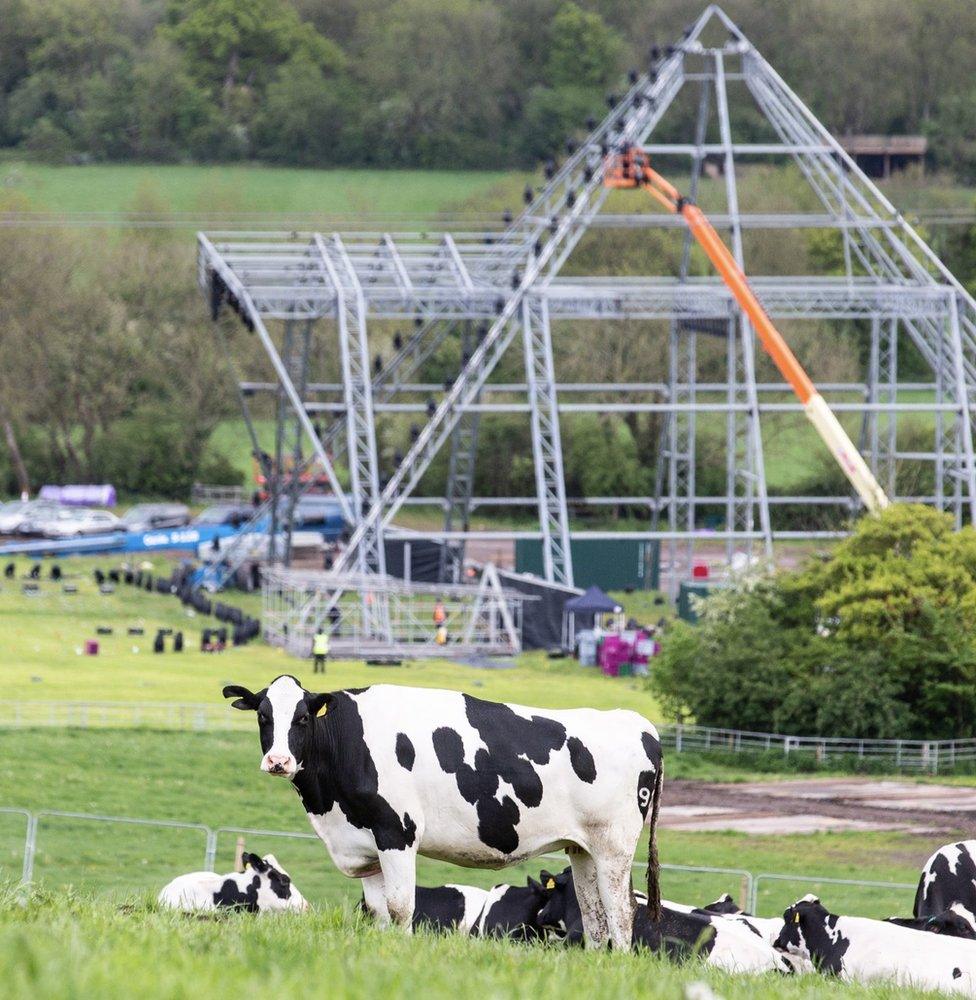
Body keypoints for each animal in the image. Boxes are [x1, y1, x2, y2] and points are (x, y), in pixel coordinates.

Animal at [223, 672, 664, 944]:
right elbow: (377, 911)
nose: (278, 761)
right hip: (584, 849)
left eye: (301, 718)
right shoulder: (366, 847)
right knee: (594, 915)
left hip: (614, 846)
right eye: (263, 716)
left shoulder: (397, 833)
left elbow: (401, 907)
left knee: (622, 911)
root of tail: (640, 725)